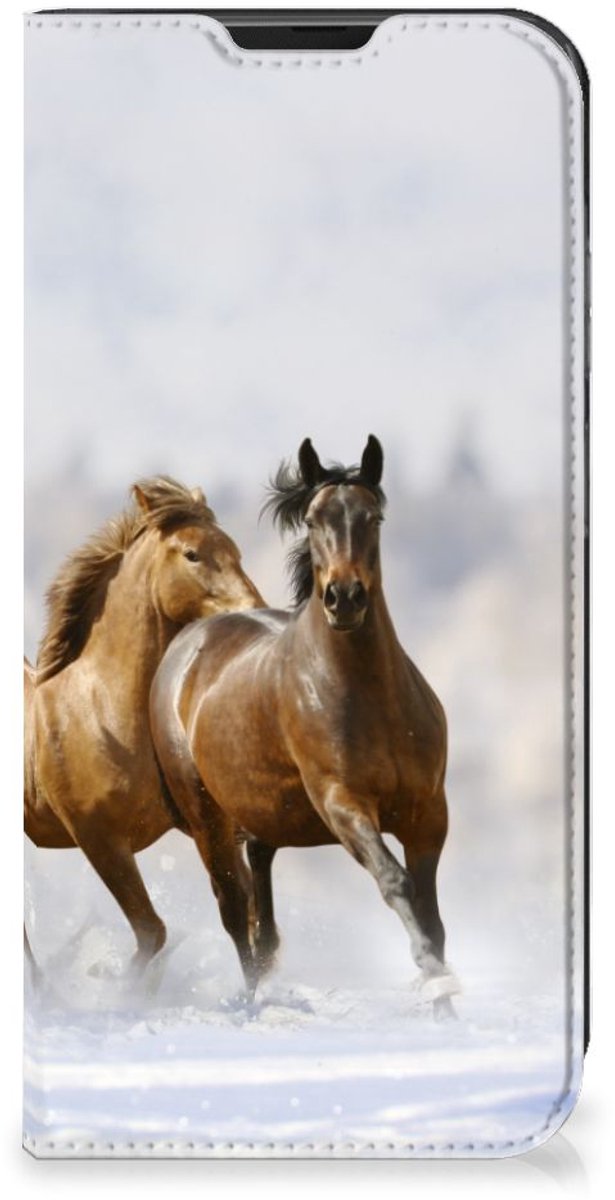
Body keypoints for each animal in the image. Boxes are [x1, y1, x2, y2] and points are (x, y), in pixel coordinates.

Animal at [25, 476, 263, 974]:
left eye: (234, 549)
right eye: (192, 554)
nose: (254, 609)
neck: (103, 713)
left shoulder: (208, 826)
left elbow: (242, 910)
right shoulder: (100, 840)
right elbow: (152, 932)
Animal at [150, 438, 459, 1017]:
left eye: (373, 517)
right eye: (314, 520)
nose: (344, 597)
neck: (370, 699)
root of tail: (187, 643)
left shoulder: (428, 812)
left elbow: (432, 913)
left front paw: (446, 1004)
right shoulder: (342, 804)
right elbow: (396, 882)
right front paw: (434, 981)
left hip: (263, 816)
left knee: (260, 907)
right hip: (207, 819)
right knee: (234, 910)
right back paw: (253, 1003)